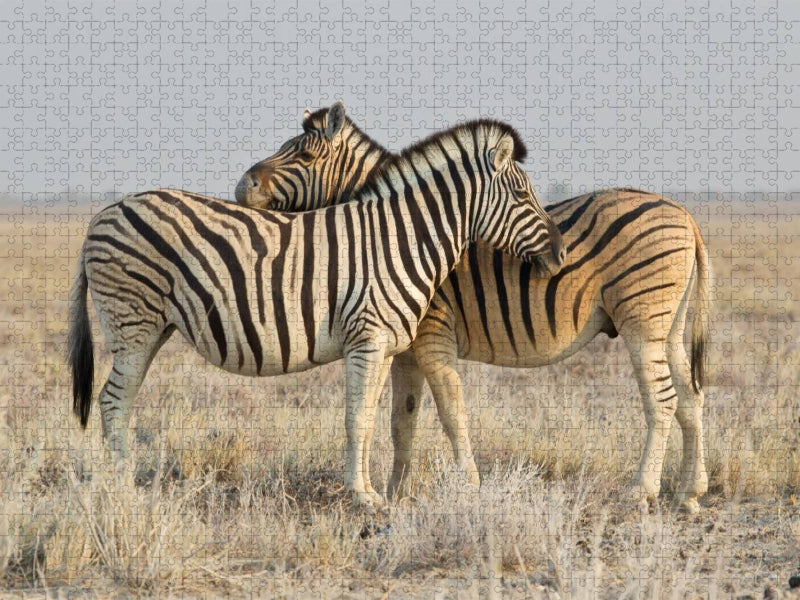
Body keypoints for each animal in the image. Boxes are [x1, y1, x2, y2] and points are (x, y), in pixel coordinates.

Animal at [68, 110, 565, 507]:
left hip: (151, 328)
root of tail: (102, 214)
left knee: (120, 400)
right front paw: (363, 497)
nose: (560, 254)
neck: (402, 239)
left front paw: (370, 492)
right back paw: (124, 492)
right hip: (133, 322)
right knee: (113, 400)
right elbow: (356, 418)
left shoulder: (385, 347)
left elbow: (370, 419)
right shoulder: (367, 339)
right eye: (523, 197)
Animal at [236, 103, 711, 513]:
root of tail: (687, 214)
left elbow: (450, 412)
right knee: (690, 397)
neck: (397, 232)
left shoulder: (431, 334)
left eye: (303, 155)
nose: (242, 186)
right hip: (669, 326)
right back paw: (689, 492)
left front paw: (463, 487)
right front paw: (396, 493)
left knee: (662, 400)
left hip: (642, 319)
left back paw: (641, 491)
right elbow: (402, 420)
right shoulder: (404, 347)